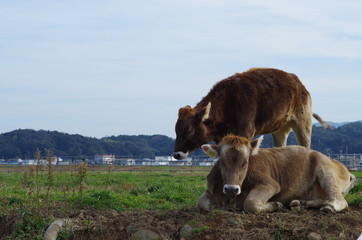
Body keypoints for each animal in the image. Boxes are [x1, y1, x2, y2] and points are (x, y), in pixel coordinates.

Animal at [173, 67, 328, 159]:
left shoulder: (246, 132)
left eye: (188, 131)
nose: (176, 154)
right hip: (280, 129)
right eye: (176, 131)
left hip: (303, 122)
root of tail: (299, 83)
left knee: (306, 146)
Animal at [198, 134, 356, 213]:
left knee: (339, 200)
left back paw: (329, 207)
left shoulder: (270, 184)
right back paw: (300, 203)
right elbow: (201, 202)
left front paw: (275, 205)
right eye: (222, 162)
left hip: (326, 172)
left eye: (245, 162)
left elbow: (250, 203)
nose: (231, 188)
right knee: (322, 198)